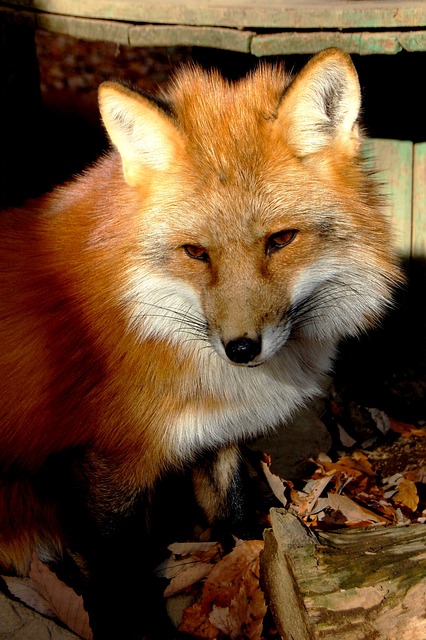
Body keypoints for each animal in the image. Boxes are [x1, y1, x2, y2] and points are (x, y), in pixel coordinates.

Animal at [0, 47, 402, 636]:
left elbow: (234, 520)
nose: (242, 349)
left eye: (281, 240)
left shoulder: (216, 435)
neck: (146, 315)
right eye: (195, 252)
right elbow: (122, 578)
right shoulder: (104, 462)